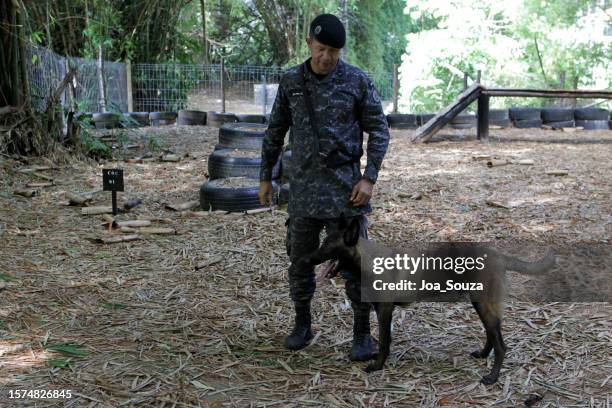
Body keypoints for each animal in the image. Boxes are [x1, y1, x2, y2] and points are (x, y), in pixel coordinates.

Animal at [298, 215, 556, 384]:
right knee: (493, 335)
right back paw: (483, 355)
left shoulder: (385, 310)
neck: (369, 261)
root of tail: (499, 255)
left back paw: (492, 377)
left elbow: (384, 341)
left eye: (327, 246)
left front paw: (378, 365)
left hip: (483, 303)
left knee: (501, 344)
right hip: (480, 303)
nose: (307, 259)